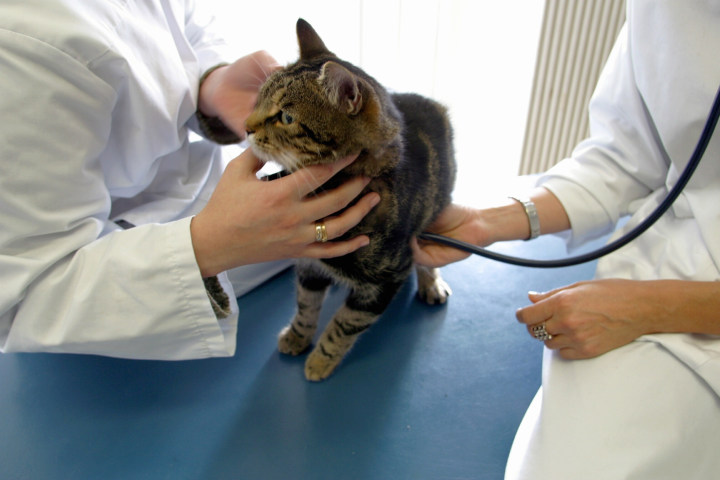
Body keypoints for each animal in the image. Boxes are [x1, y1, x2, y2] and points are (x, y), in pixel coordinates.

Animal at [246, 18, 456, 380]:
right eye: (259, 98)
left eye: (286, 117)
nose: (245, 127)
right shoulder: (308, 264)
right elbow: (305, 304)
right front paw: (298, 336)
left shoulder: (385, 280)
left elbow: (345, 324)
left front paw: (321, 359)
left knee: (426, 252)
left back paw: (431, 283)